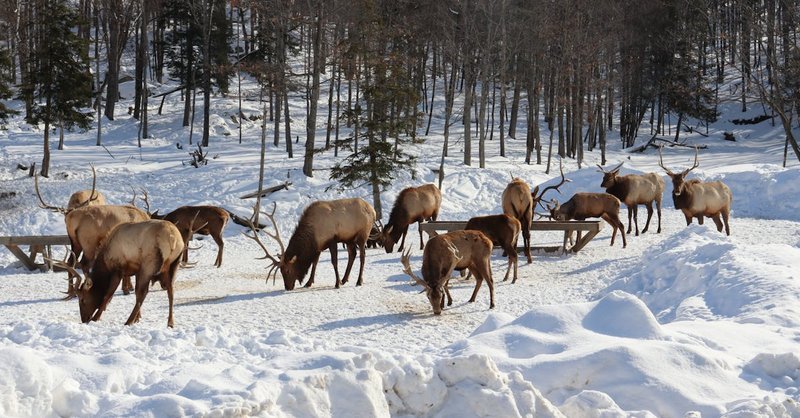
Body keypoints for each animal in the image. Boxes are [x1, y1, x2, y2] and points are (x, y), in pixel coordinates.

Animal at [247, 198, 378, 290]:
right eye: (281, 271)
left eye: (287, 270)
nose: (287, 287)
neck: (313, 234)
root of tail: (373, 211)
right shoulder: (318, 246)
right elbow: (314, 263)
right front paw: (308, 282)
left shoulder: (332, 240)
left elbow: (334, 262)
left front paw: (336, 283)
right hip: (349, 239)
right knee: (352, 254)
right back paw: (345, 279)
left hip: (363, 235)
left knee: (362, 256)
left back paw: (358, 281)